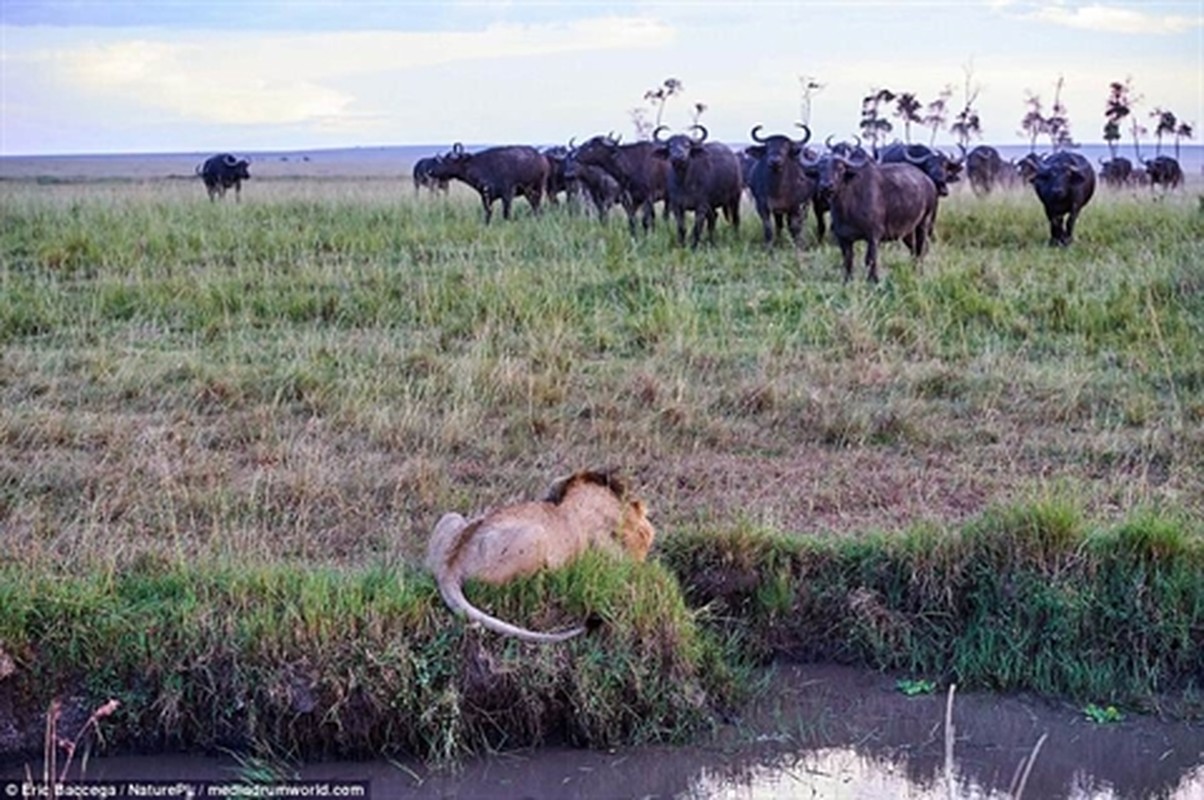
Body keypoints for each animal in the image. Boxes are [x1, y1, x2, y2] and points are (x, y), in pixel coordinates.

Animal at [809, 145, 939, 283]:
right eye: (819, 169)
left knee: (921, 248)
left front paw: (874, 280)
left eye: (840, 168)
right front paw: (847, 280)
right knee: (913, 249)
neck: (848, 207)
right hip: (907, 231)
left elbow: (870, 259)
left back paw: (919, 272)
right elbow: (847, 259)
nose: (826, 186)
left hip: (924, 223)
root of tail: (929, 181)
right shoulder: (843, 237)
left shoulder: (874, 236)